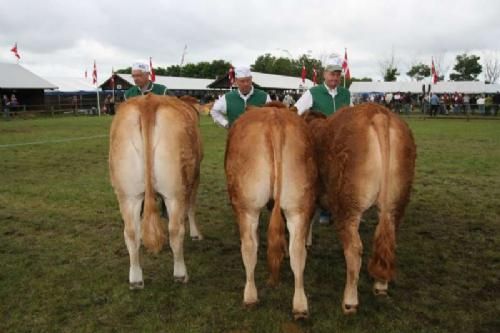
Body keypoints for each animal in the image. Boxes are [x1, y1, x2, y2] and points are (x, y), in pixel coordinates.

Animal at [109, 94, 203, 288]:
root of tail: (148, 102)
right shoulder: (195, 177)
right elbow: (191, 207)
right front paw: (196, 234)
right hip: (175, 192)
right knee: (175, 230)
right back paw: (180, 274)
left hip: (127, 194)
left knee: (130, 232)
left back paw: (136, 279)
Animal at [226, 102, 318, 320]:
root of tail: (275, 119)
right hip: (298, 205)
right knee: (298, 251)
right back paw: (300, 306)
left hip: (247, 206)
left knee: (249, 246)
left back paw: (250, 296)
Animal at [302, 103, 416, 314]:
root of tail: (379, 114)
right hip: (396, 203)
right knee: (387, 239)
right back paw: (380, 286)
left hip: (347, 204)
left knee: (354, 250)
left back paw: (349, 301)